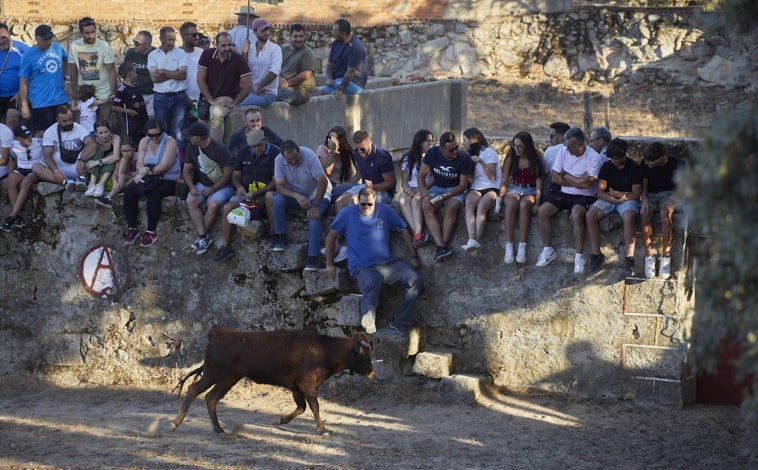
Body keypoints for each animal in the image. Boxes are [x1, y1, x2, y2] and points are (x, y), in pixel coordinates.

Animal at [171, 326, 376, 434]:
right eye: (364, 354)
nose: (373, 374)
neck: (325, 350)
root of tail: (218, 332)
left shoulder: (296, 387)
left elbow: (301, 407)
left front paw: (280, 421)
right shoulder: (307, 385)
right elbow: (314, 406)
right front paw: (322, 429)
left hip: (230, 376)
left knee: (211, 397)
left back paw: (218, 428)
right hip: (214, 372)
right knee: (194, 389)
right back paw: (175, 422)